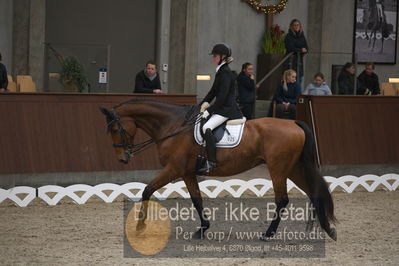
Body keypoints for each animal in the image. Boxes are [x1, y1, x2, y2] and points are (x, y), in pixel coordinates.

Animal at [99, 97, 338, 241]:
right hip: (294, 169)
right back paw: (328, 230)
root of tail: (294, 123)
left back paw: (268, 234)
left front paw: (140, 228)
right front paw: (203, 228)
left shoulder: (174, 169)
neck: (173, 126)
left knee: (282, 200)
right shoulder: (187, 173)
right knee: (314, 193)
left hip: (278, 169)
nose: (122, 158)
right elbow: (196, 199)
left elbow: (147, 190)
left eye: (115, 129)